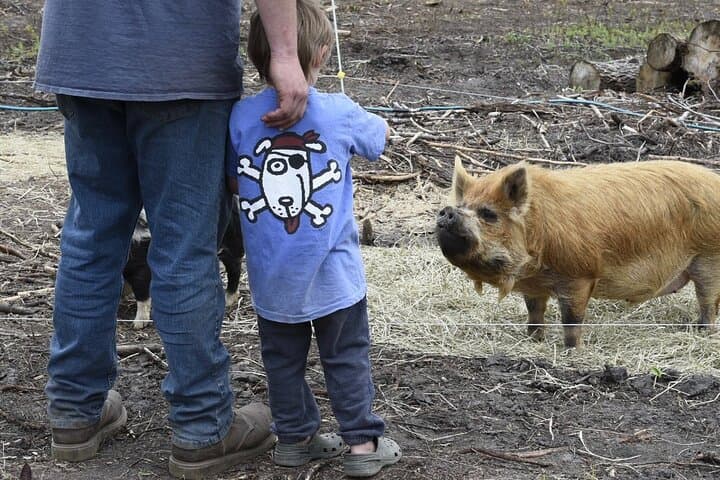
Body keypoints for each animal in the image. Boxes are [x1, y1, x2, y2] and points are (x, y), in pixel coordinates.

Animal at [436, 158, 720, 348]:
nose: (447, 211)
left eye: (488, 214)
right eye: (463, 204)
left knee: (707, 300)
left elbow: (572, 317)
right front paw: (533, 339)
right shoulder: (534, 285)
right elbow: (534, 310)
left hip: (708, 258)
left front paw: (571, 349)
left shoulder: (579, 276)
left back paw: (700, 330)